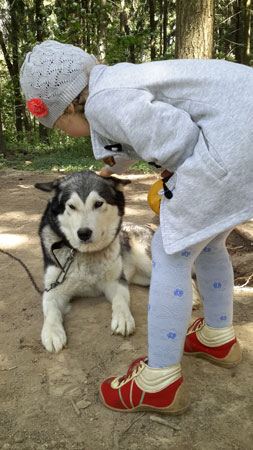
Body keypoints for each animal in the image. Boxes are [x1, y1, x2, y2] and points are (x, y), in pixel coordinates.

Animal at [36, 171, 202, 354]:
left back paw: (192, 297)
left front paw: (123, 318)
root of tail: (146, 227)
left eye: (98, 203)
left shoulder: (117, 281)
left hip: (148, 263)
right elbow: (51, 310)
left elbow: (120, 300)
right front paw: (52, 332)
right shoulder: (53, 289)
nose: (84, 233)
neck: (87, 254)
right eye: (71, 206)